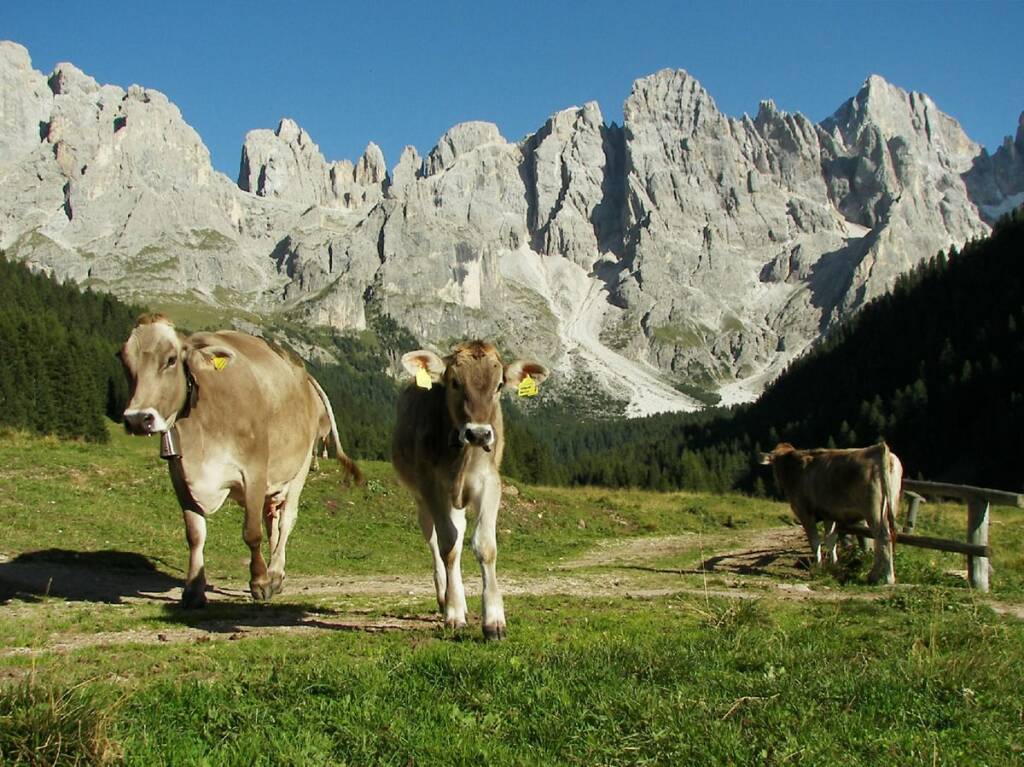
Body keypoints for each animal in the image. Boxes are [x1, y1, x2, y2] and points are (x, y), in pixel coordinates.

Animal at [119, 313, 362, 606]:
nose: (137, 419)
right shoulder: (179, 474)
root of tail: (305, 376)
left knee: (287, 519)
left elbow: (251, 532)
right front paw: (193, 589)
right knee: (272, 522)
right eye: (123, 359)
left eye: (171, 359)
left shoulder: (254, 471)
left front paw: (259, 583)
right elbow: (195, 533)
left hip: (299, 466)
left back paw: (275, 573)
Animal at [391, 337, 548, 638]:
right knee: (434, 541)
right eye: (454, 382)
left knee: (460, 530)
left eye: (499, 385)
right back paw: (446, 599)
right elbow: (448, 546)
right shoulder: (432, 487)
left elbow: (484, 546)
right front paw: (453, 613)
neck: (462, 457)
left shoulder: (490, 482)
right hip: (420, 498)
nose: (478, 433)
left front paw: (494, 620)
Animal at [757, 440, 901, 581]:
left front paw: (817, 568)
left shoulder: (805, 513)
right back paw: (874, 575)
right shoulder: (829, 515)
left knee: (883, 538)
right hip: (889, 506)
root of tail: (878, 448)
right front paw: (834, 565)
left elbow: (815, 541)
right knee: (883, 539)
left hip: (872, 510)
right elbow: (830, 540)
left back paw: (887, 577)